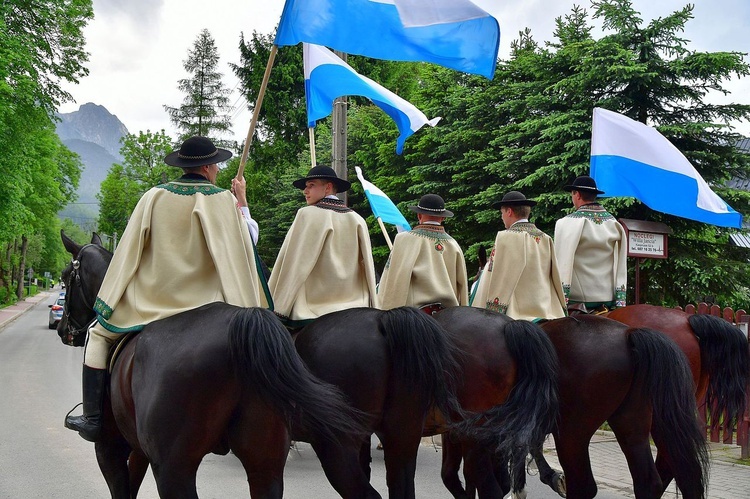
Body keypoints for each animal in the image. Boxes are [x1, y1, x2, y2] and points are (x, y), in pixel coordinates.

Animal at [58, 231, 368, 499]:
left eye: (65, 278)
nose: (63, 330)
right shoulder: (138, 450)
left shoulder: (110, 447)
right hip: (265, 464)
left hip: (173, 470)